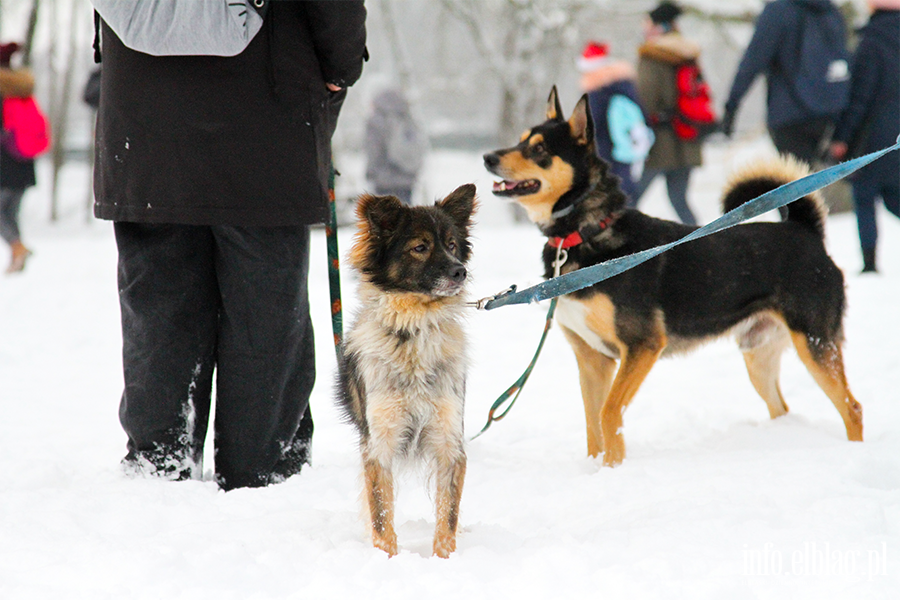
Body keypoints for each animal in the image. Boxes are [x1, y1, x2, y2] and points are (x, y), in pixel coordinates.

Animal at [338, 184, 478, 556]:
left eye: (452, 244)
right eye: (420, 247)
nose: (460, 271)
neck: (414, 329)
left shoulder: (449, 440)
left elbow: (448, 514)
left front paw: (445, 559)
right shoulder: (378, 444)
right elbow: (381, 515)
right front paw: (386, 559)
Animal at [486, 86, 864, 466]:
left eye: (539, 149)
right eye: (521, 140)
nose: (488, 157)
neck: (585, 232)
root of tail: (805, 231)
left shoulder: (642, 345)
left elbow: (609, 415)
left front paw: (613, 469)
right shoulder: (592, 359)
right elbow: (593, 426)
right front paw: (597, 471)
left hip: (814, 343)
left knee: (852, 407)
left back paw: (855, 453)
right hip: (759, 355)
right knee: (782, 407)